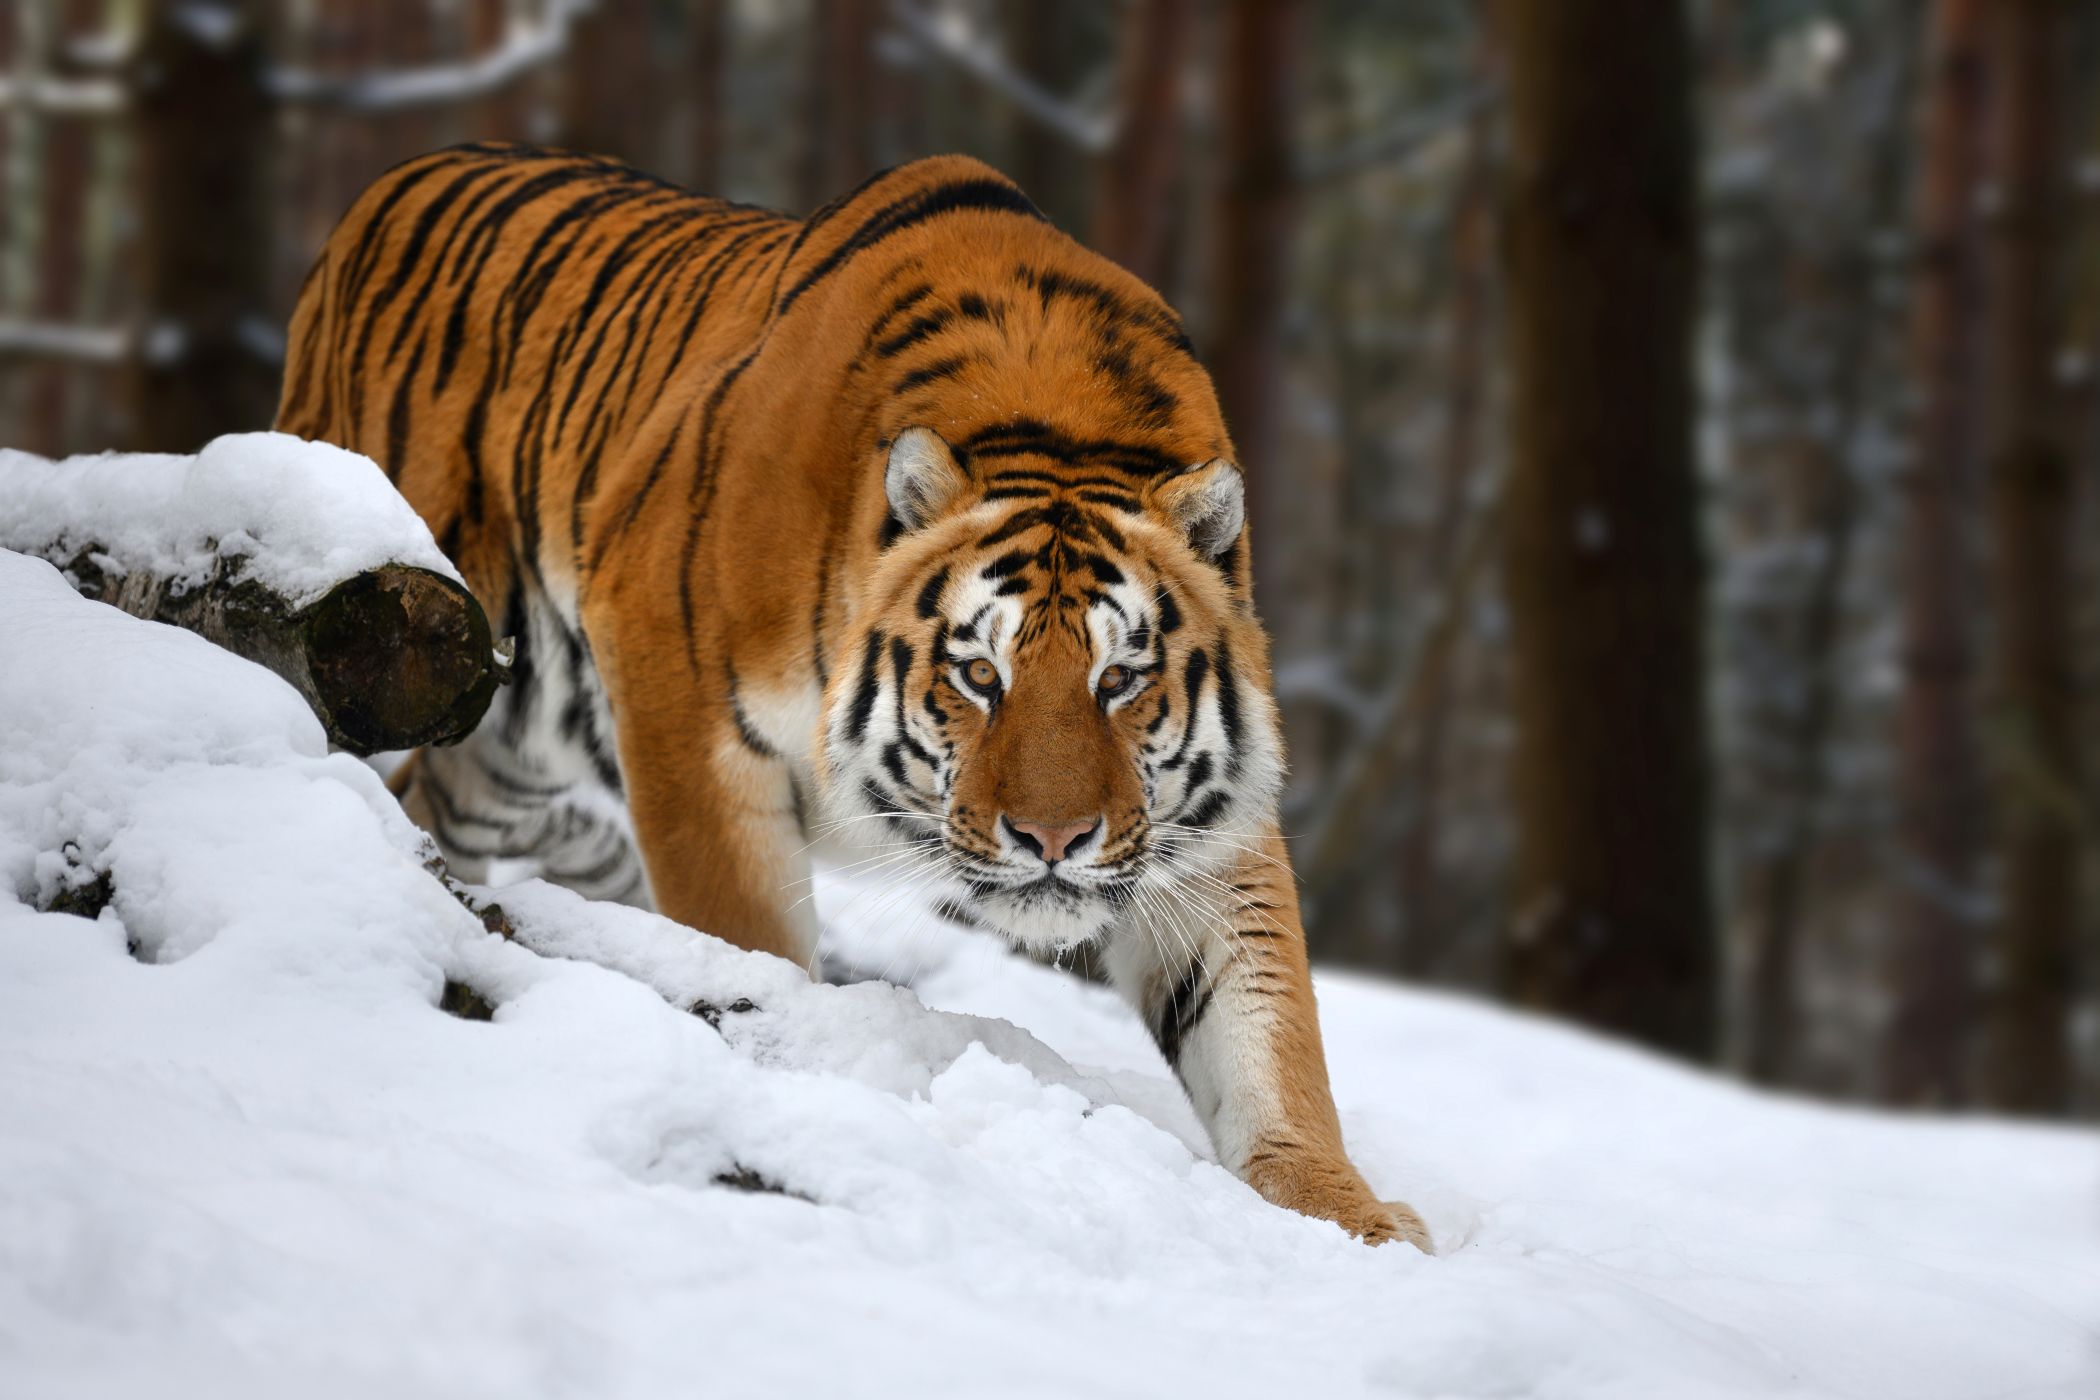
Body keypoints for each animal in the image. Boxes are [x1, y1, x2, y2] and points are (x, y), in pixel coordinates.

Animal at [277, 142, 1431, 1250]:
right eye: (980, 675)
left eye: (1120, 680)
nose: (1053, 839)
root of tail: (389, 183)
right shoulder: (684, 711)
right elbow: (746, 934)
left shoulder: (1201, 822)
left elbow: (1262, 1022)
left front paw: (1350, 1214)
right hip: (387, 619)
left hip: (495, 723)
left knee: (438, 801)